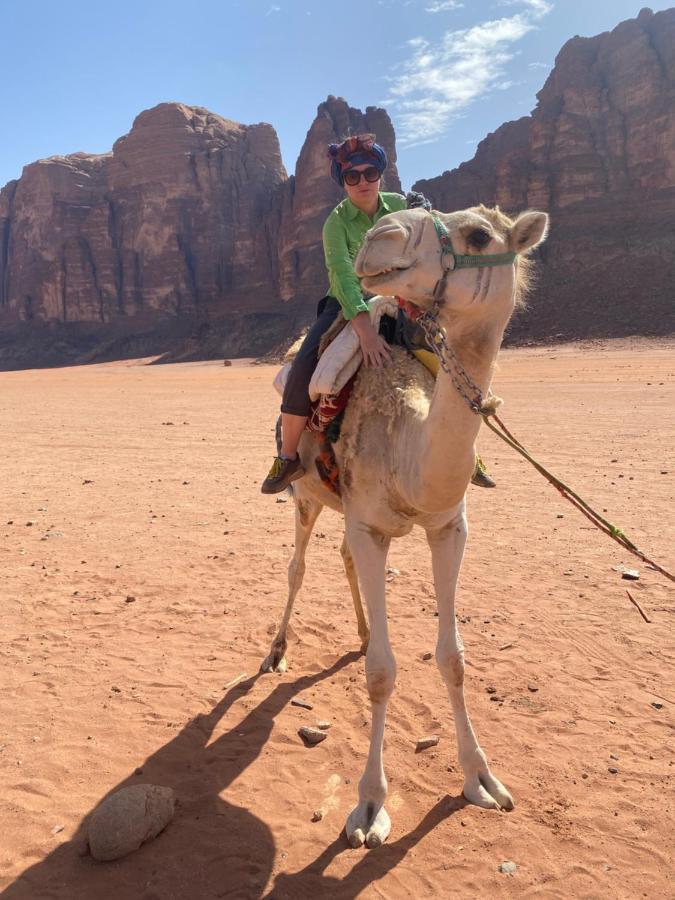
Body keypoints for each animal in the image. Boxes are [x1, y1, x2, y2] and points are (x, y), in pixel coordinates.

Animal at [262, 204, 552, 852]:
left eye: (479, 235)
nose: (379, 236)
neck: (410, 453)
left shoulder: (448, 527)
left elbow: (453, 658)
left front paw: (481, 779)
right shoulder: (372, 526)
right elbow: (381, 674)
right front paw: (369, 806)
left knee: (341, 556)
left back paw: (363, 630)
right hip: (305, 494)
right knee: (296, 566)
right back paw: (276, 651)